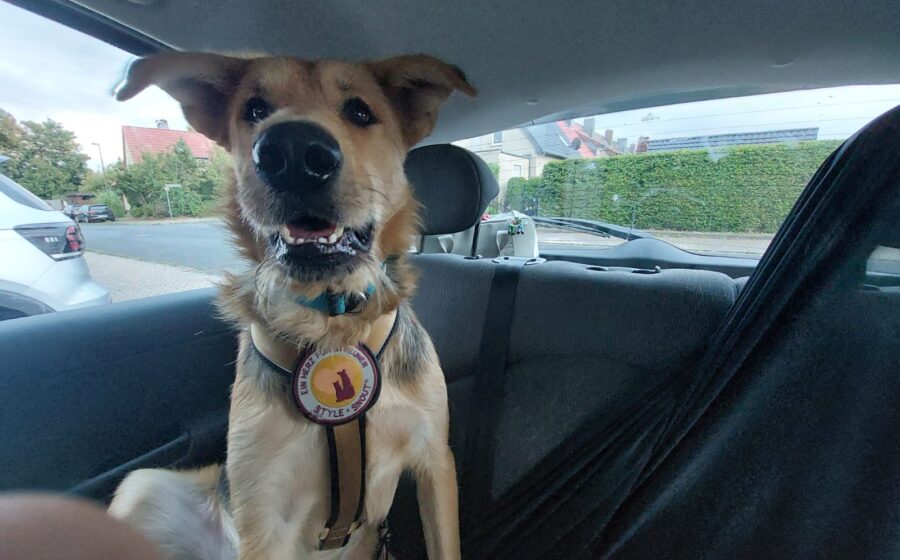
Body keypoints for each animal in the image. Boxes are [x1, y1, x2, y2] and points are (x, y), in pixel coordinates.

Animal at [108, 52, 475, 560]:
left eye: (360, 111)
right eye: (255, 110)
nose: (294, 153)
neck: (333, 323)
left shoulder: (434, 462)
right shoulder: (263, 513)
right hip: (140, 486)